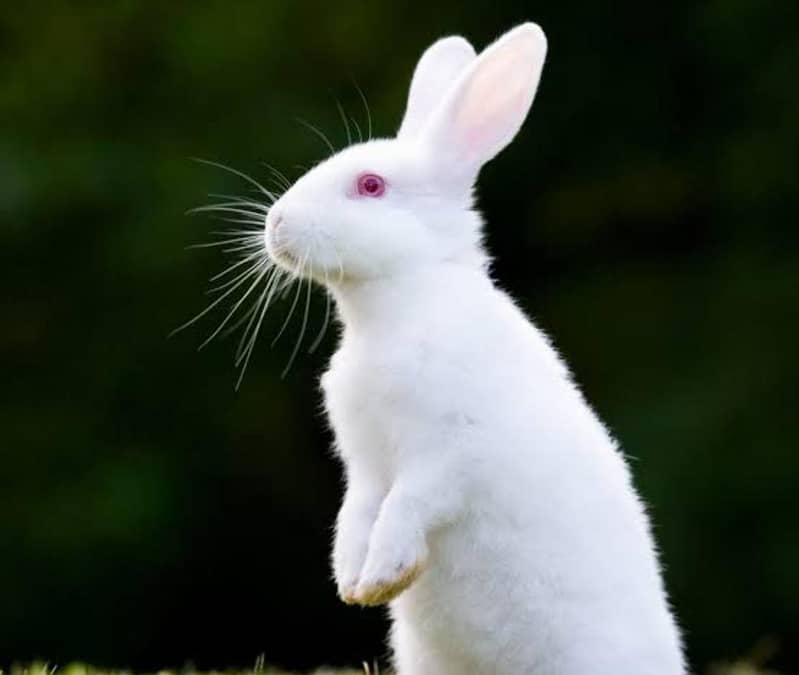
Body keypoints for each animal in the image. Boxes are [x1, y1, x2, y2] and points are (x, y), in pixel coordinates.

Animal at [263, 22, 686, 675]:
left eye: (370, 185)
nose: (275, 223)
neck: (396, 309)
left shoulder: (449, 453)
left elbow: (407, 505)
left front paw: (381, 577)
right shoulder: (364, 467)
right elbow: (356, 515)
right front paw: (352, 582)